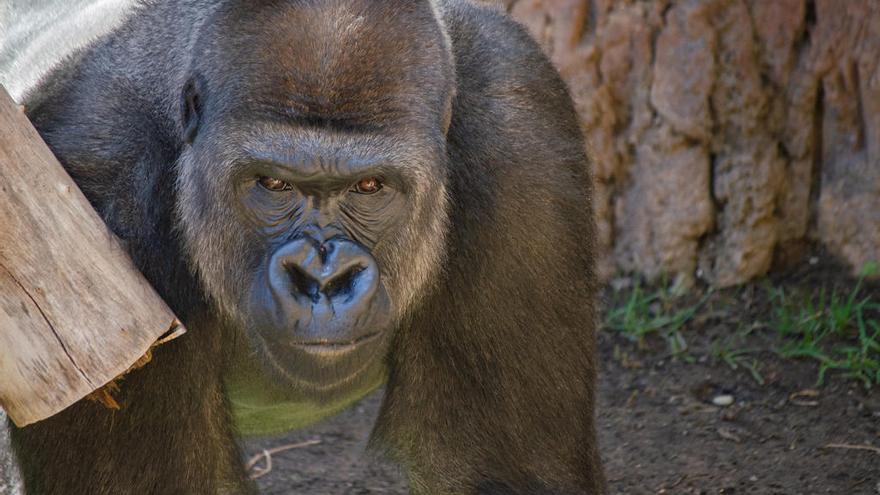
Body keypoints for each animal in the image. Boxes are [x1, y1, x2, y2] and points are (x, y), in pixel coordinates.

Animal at [8, 0, 604, 494]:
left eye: (370, 187)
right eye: (273, 184)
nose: (322, 281)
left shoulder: (521, 140)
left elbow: (502, 471)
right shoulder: (99, 182)